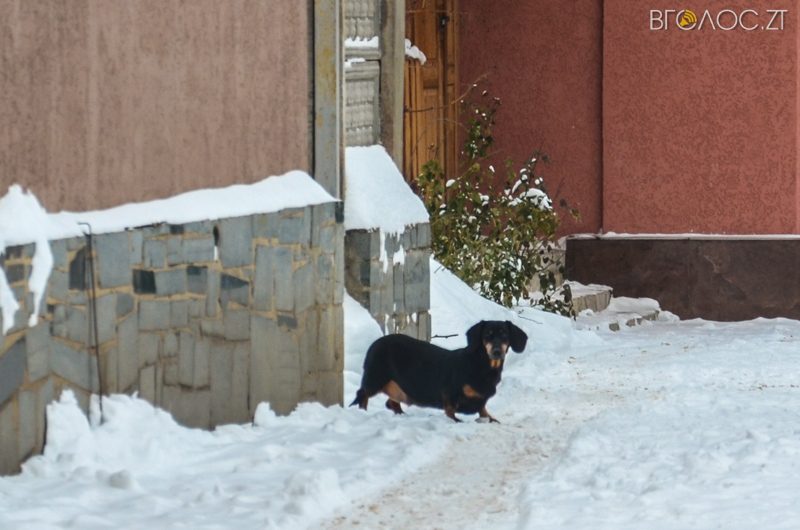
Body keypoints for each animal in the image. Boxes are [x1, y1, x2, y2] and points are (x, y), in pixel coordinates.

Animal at [349, 320, 528, 422]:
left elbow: (486, 413)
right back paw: (362, 413)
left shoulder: (482, 404)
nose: (497, 352)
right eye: (487, 335)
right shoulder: (450, 395)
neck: (482, 365)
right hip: (375, 378)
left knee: (391, 403)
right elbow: (451, 413)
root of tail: (375, 343)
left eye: (504, 335)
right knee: (362, 395)